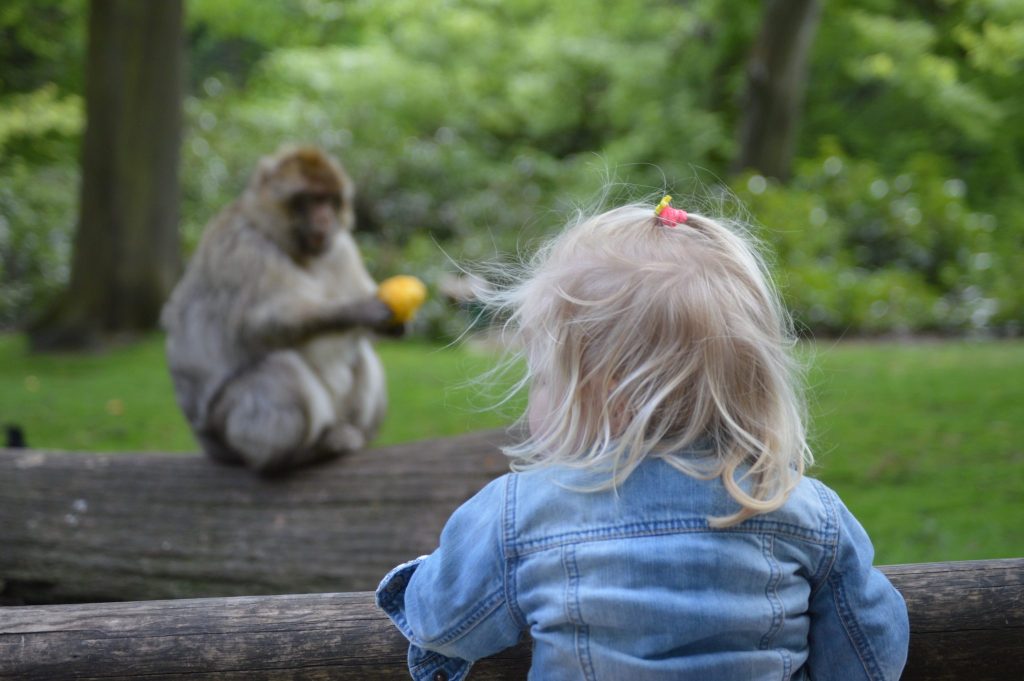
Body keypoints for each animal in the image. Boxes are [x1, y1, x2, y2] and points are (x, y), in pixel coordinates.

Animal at [161, 146, 397, 473]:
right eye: (310, 200)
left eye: (329, 200)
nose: (325, 217)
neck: (295, 250)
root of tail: (205, 442)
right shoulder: (243, 247)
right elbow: (259, 327)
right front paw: (353, 310)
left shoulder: (341, 248)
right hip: (224, 430)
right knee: (279, 371)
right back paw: (298, 455)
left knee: (361, 355)